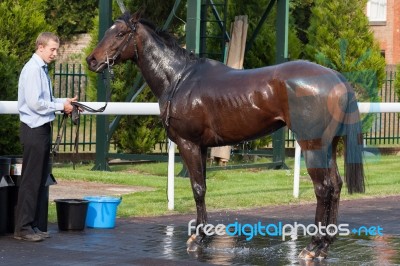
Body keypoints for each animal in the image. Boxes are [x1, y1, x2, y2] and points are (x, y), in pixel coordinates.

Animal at [87, 10, 366, 262]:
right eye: (108, 31)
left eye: (120, 34)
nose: (92, 60)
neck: (179, 78)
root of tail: (337, 79)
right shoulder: (201, 147)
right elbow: (202, 187)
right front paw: (202, 234)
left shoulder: (189, 144)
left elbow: (197, 188)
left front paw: (199, 238)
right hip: (328, 146)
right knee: (336, 185)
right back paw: (325, 244)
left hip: (312, 145)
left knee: (323, 188)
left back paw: (312, 247)